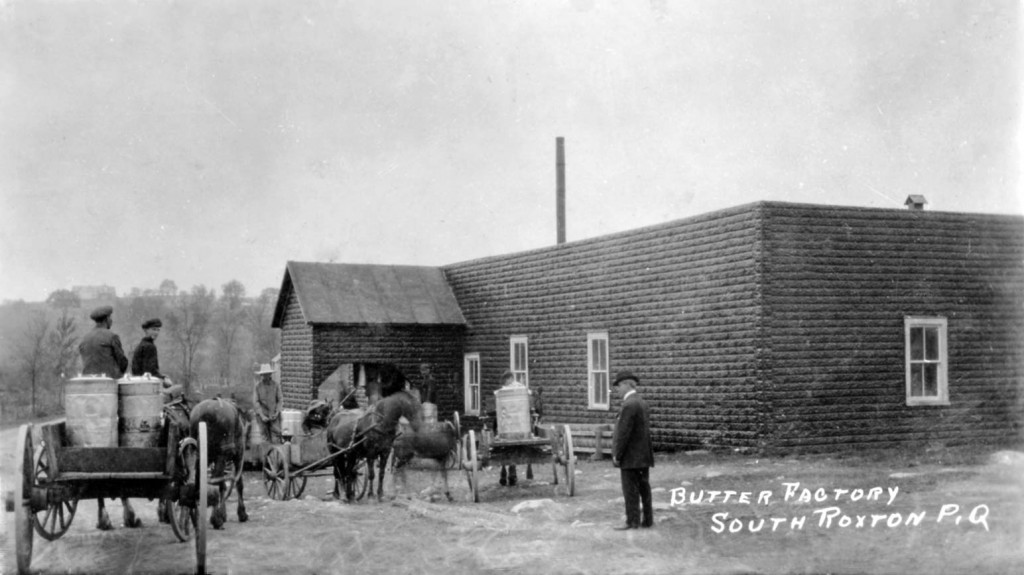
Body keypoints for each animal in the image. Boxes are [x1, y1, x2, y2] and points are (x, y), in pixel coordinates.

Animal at [186, 396, 247, 527]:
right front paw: (241, 513)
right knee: (216, 480)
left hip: (199, 452)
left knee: (201, 478)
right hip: (222, 454)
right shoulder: (238, 457)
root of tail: (206, 413)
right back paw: (216, 518)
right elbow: (238, 483)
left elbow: (223, 484)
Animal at [329, 368, 421, 499]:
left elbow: (381, 473)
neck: (381, 424)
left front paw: (380, 493)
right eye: (412, 407)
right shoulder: (371, 453)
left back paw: (350, 493)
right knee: (337, 472)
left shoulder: (385, 452)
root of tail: (335, 417)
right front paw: (371, 494)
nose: (419, 425)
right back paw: (337, 493)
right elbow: (372, 474)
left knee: (349, 471)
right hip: (334, 452)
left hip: (351, 453)